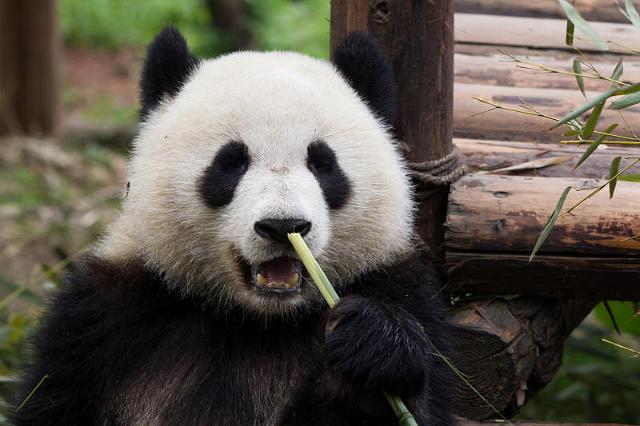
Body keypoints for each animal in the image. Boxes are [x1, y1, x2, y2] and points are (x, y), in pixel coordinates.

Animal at [15, 27, 456, 426]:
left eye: (322, 163)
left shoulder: (401, 290)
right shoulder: (102, 323)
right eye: (230, 162)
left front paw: (370, 352)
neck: (259, 321)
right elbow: (56, 401)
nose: (283, 225)